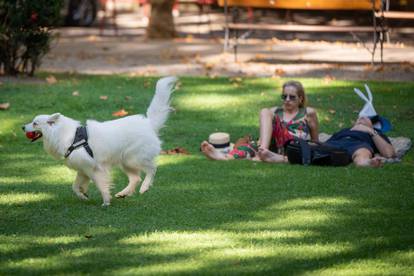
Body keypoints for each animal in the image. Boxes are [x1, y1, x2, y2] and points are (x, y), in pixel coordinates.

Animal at [23, 76, 178, 206]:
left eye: (35, 123)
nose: (22, 127)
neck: (68, 136)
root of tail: (149, 124)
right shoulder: (83, 170)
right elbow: (75, 186)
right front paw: (83, 195)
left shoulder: (94, 169)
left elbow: (101, 185)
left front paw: (105, 202)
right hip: (126, 162)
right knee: (135, 178)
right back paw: (123, 193)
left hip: (134, 159)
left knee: (152, 169)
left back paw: (144, 188)